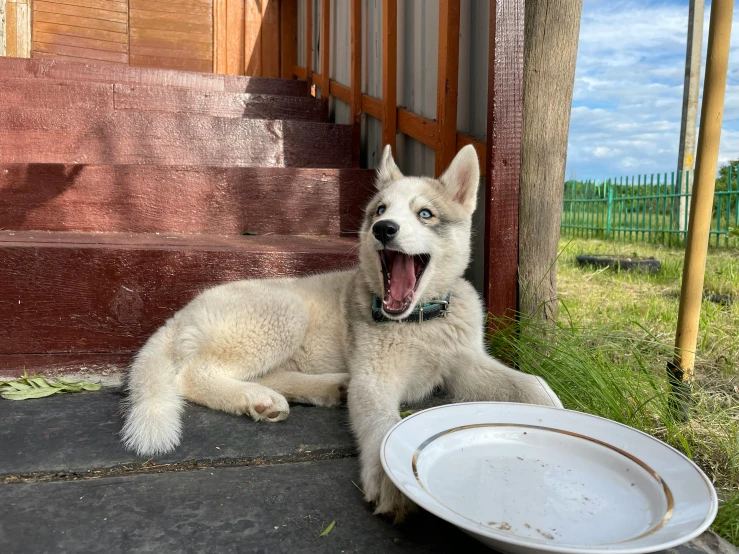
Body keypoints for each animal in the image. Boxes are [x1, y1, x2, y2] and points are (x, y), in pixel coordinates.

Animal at [121, 142, 560, 516]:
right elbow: (383, 425)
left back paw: (312, 390)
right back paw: (256, 397)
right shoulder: (375, 378)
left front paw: (557, 415)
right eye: (380, 210)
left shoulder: (465, 365)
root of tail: (181, 313)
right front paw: (390, 477)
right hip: (283, 313)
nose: (383, 229)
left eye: (425, 214)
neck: (420, 323)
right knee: (191, 376)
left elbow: (532, 385)